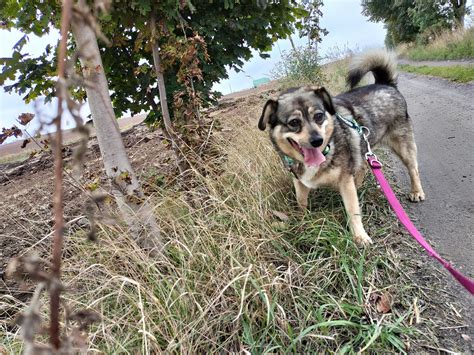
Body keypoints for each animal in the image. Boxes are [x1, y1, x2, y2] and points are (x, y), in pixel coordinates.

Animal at [260, 50, 426, 248]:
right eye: (294, 122)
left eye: (319, 116)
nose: (317, 140)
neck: (326, 150)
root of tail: (385, 84)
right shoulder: (299, 182)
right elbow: (301, 202)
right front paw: (302, 220)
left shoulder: (345, 181)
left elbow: (353, 210)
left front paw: (360, 236)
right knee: (363, 166)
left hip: (403, 144)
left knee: (413, 168)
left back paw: (416, 191)